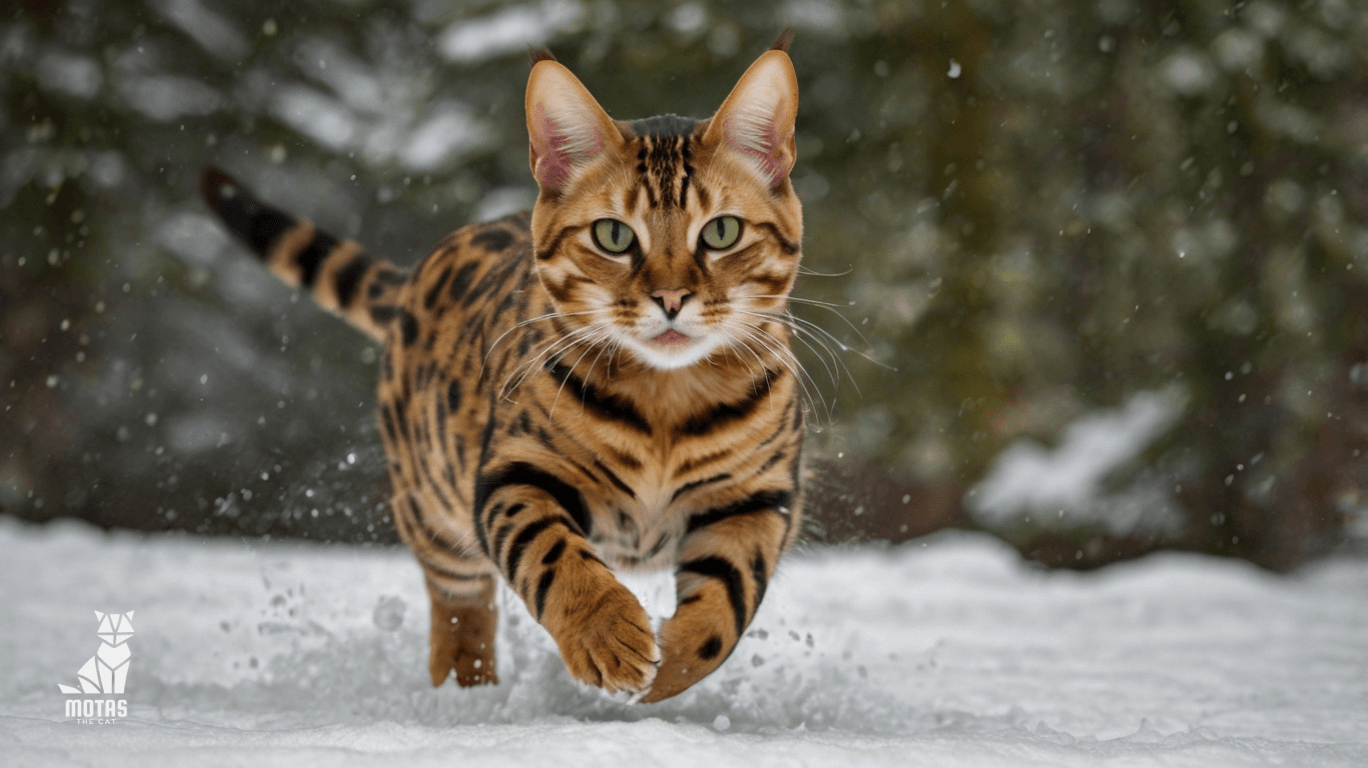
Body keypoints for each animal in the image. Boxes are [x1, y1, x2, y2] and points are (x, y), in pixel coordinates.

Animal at [201, 37, 798, 700]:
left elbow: (727, 605)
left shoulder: (757, 500)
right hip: (431, 501)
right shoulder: (517, 471)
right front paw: (608, 638)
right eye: (614, 236)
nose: (671, 298)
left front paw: (665, 668)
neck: (667, 398)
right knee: (459, 603)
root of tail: (417, 277)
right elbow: (552, 554)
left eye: (722, 231)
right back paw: (467, 692)